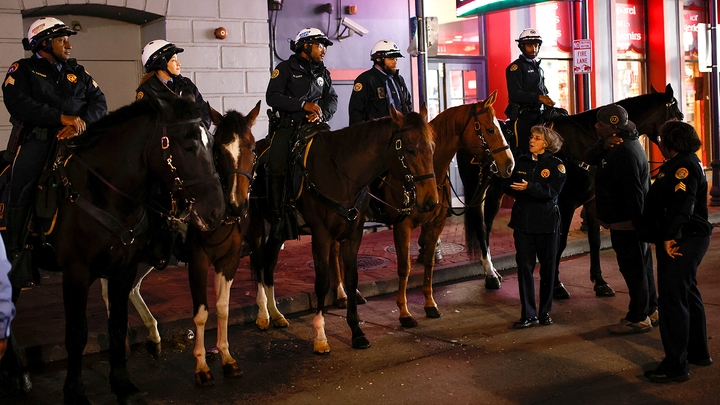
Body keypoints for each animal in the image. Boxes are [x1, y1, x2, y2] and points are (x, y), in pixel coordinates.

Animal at [248, 105, 438, 352]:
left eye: (432, 147)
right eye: (410, 149)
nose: (431, 202)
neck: (341, 175)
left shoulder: (353, 234)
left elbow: (351, 278)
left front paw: (356, 331)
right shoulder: (321, 235)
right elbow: (321, 283)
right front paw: (320, 336)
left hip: (278, 229)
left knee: (269, 262)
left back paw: (276, 314)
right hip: (259, 222)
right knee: (259, 261)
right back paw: (263, 314)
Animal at [464, 83, 684, 296]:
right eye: (679, 115)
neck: (586, 140)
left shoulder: (592, 202)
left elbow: (594, 240)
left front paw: (600, 282)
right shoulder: (566, 203)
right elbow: (560, 243)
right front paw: (556, 285)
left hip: (496, 191)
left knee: (486, 225)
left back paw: (492, 271)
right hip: (479, 188)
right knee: (481, 226)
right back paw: (490, 276)